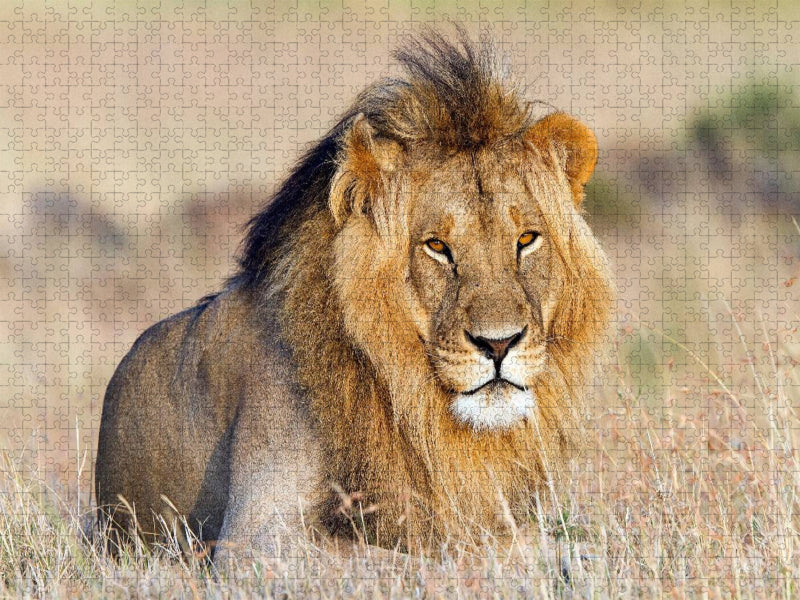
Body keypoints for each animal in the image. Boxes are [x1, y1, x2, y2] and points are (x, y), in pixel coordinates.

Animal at [95, 30, 614, 562]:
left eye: (526, 239)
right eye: (436, 246)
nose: (499, 344)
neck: (410, 397)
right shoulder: (254, 539)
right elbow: (435, 551)